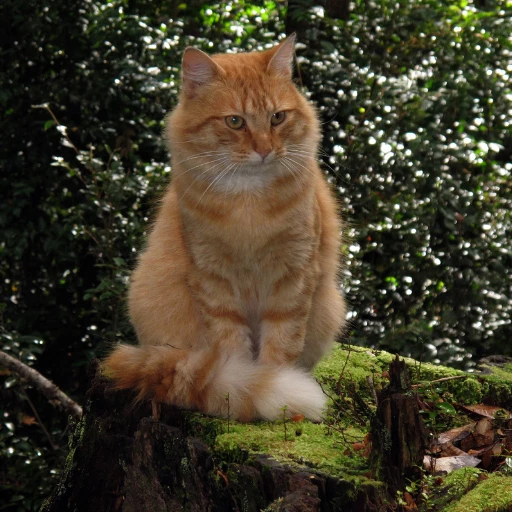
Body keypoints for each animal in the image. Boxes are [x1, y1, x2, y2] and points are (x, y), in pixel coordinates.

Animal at [102, 35, 346, 420]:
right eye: (235, 122)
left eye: (277, 117)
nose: (265, 150)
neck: (248, 204)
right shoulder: (212, 278)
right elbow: (231, 347)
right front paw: (244, 387)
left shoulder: (293, 278)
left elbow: (281, 346)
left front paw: (274, 389)